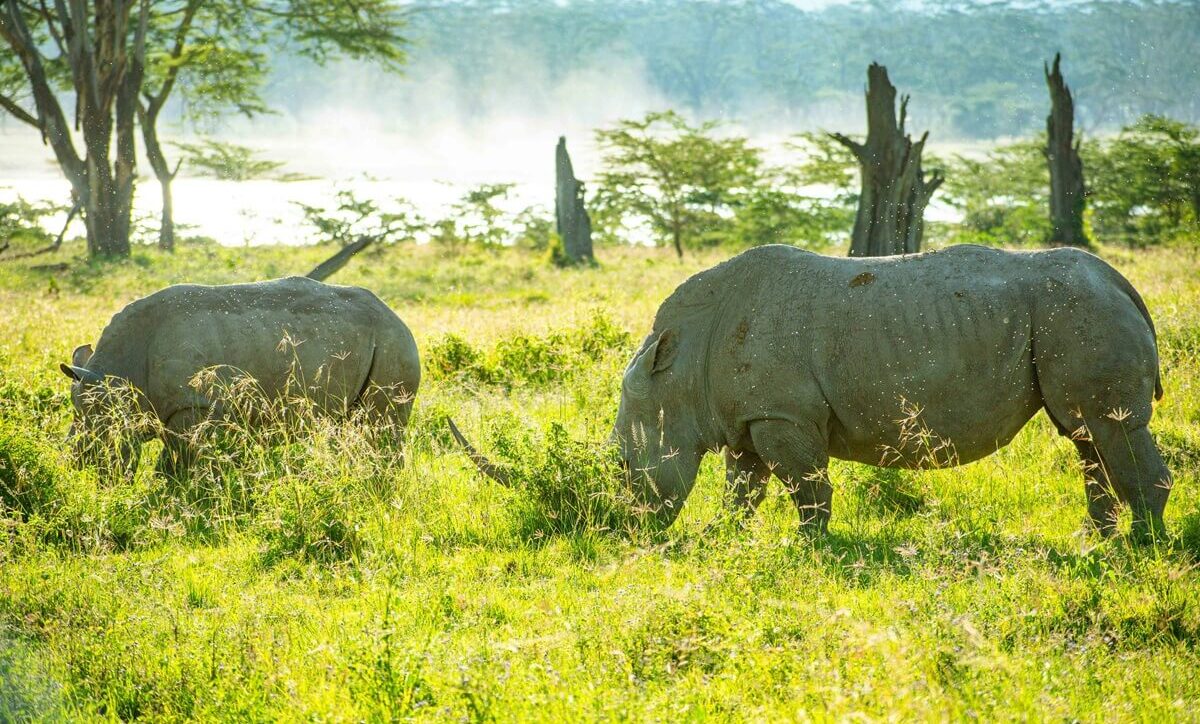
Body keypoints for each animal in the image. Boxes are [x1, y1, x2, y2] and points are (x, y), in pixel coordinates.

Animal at [60, 276, 420, 477]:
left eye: (97, 426)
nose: (76, 464)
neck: (118, 371)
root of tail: (397, 316)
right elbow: (173, 461)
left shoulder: (194, 405)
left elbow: (183, 461)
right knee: (354, 427)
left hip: (391, 341)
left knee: (379, 426)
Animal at [454, 244, 1171, 540]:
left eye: (628, 469)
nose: (616, 530)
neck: (675, 372)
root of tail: (1123, 281)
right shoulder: (744, 418)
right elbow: (743, 491)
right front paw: (723, 540)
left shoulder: (781, 414)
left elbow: (805, 485)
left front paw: (810, 547)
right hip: (1072, 314)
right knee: (1085, 435)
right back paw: (1095, 539)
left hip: (1079, 312)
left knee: (1107, 425)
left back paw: (1142, 546)